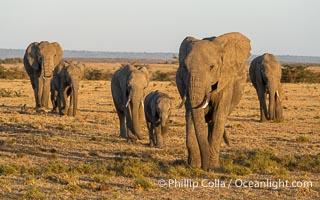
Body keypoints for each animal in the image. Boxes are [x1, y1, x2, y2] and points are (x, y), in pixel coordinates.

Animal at [176, 32, 251, 170]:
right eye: (184, 67)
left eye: (212, 67)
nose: (204, 168)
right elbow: (190, 116)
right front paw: (194, 166)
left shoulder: (226, 81)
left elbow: (218, 117)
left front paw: (211, 167)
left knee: (213, 121)